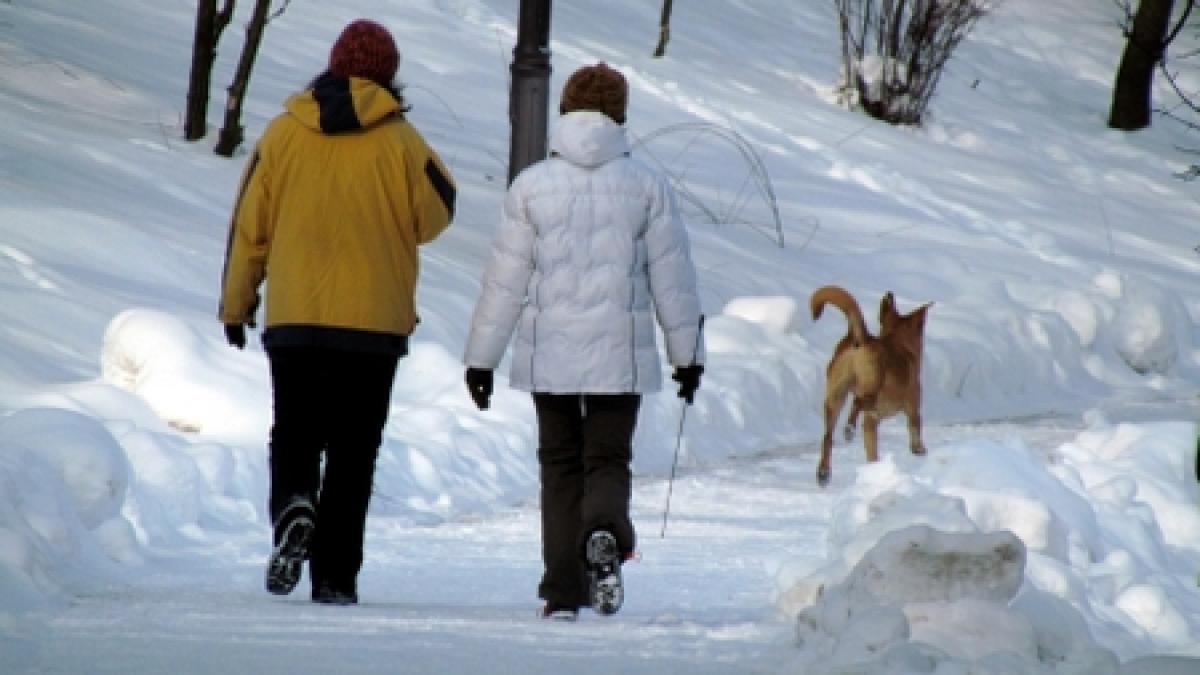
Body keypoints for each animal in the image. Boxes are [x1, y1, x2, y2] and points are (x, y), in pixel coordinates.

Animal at [811, 283, 931, 482]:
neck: (897, 342)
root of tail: (861, 338)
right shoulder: (913, 409)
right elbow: (915, 430)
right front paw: (919, 450)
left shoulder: (870, 424)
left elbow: (871, 452)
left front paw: (874, 469)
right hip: (870, 388)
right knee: (857, 402)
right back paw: (849, 428)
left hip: (834, 397)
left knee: (827, 437)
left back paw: (823, 472)